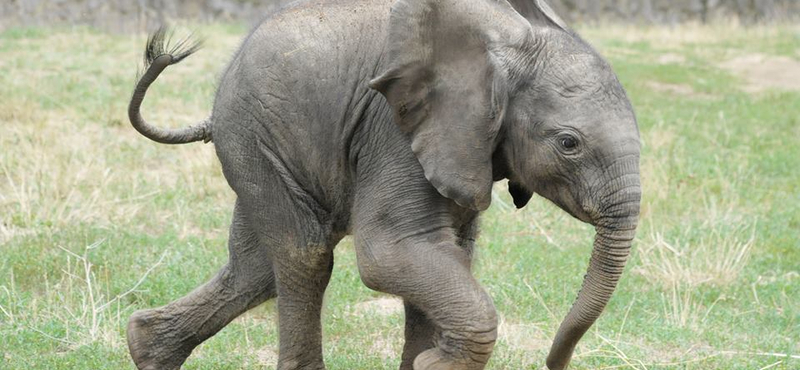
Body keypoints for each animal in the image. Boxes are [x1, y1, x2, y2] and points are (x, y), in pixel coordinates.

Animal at [126, 0, 644, 370]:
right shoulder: (394, 130)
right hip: (253, 137)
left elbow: (448, 254)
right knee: (305, 255)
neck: (508, 46)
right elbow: (392, 253)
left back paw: (147, 349)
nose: (554, 363)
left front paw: (428, 358)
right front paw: (437, 362)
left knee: (257, 269)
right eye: (569, 143)